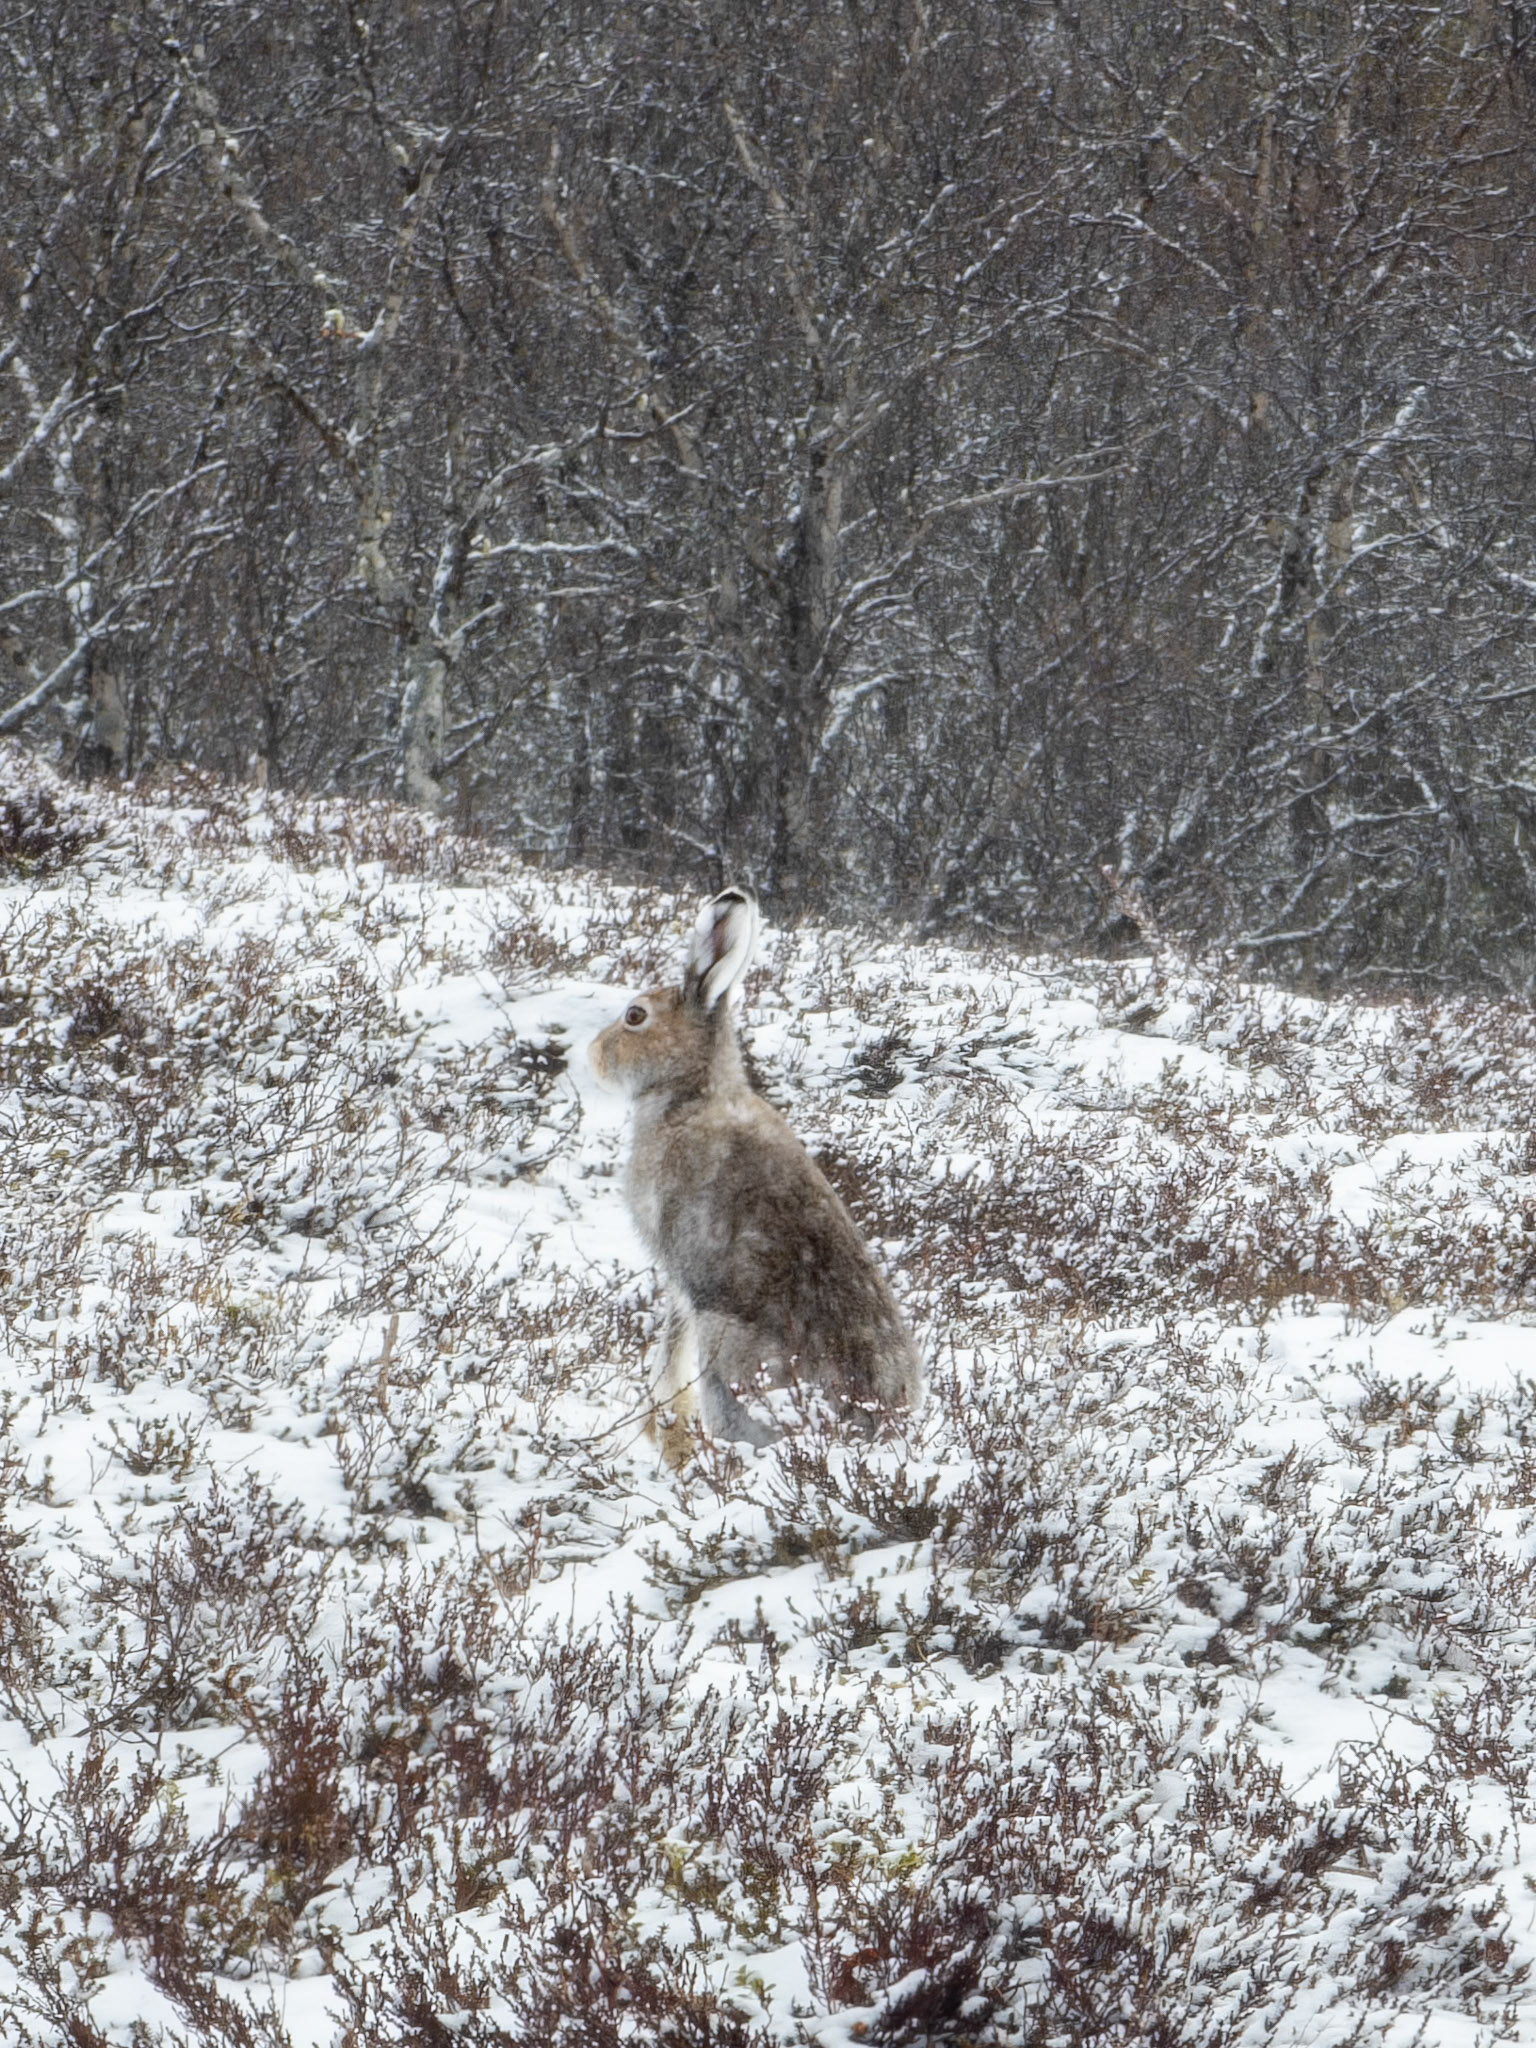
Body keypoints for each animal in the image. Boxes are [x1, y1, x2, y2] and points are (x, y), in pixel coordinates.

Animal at [590, 887, 921, 1458]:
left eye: (635, 1016)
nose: (594, 1055)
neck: (692, 1094)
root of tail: (867, 1430)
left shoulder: (681, 1274)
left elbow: (670, 1346)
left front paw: (663, 1433)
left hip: (728, 1354)